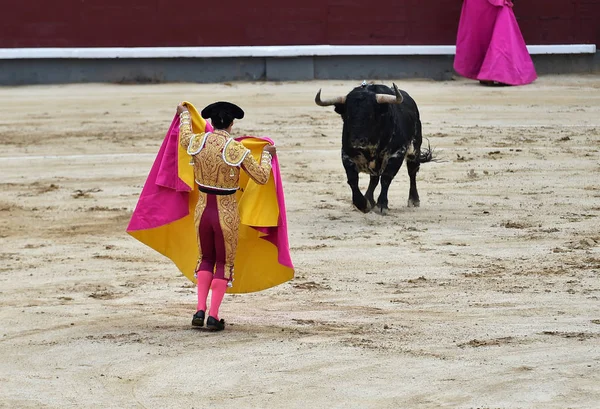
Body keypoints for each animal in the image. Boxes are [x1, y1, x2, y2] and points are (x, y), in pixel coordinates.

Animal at [316, 83, 434, 217]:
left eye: (370, 115)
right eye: (348, 115)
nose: (357, 141)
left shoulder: (397, 153)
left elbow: (386, 178)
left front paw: (382, 205)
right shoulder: (346, 155)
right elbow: (353, 180)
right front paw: (363, 204)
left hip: (414, 150)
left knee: (412, 172)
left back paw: (413, 200)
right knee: (374, 178)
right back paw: (369, 199)